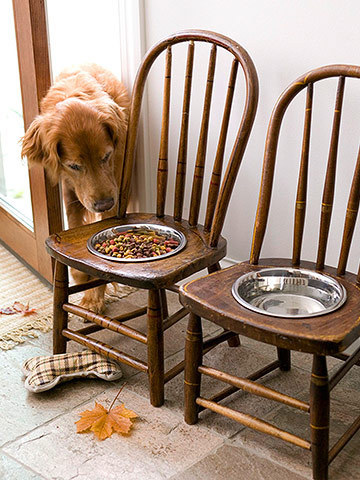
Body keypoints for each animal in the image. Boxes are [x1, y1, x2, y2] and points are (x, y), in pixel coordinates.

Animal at [21, 62, 129, 312]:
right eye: (74, 166)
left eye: (106, 156)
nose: (103, 204)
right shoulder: (71, 196)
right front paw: (80, 277)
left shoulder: (114, 194)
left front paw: (93, 298)